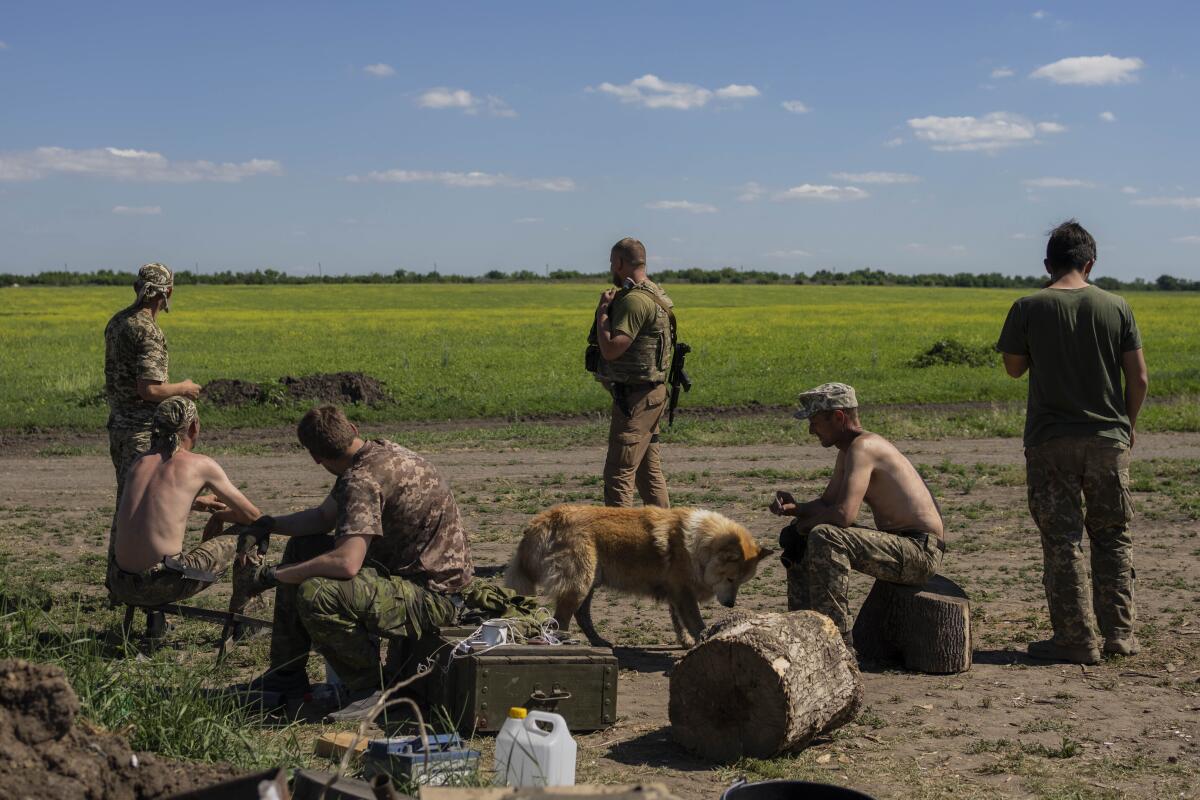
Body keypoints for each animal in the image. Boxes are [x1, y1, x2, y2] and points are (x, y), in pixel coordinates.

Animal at [504, 506, 768, 652]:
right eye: (730, 579)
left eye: (741, 582)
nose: (731, 605)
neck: (698, 544)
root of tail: (545, 519)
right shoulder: (684, 593)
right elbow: (695, 622)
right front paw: (703, 640)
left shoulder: (676, 594)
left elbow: (679, 622)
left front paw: (685, 641)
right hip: (579, 583)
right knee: (562, 618)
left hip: (589, 583)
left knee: (581, 615)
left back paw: (598, 642)